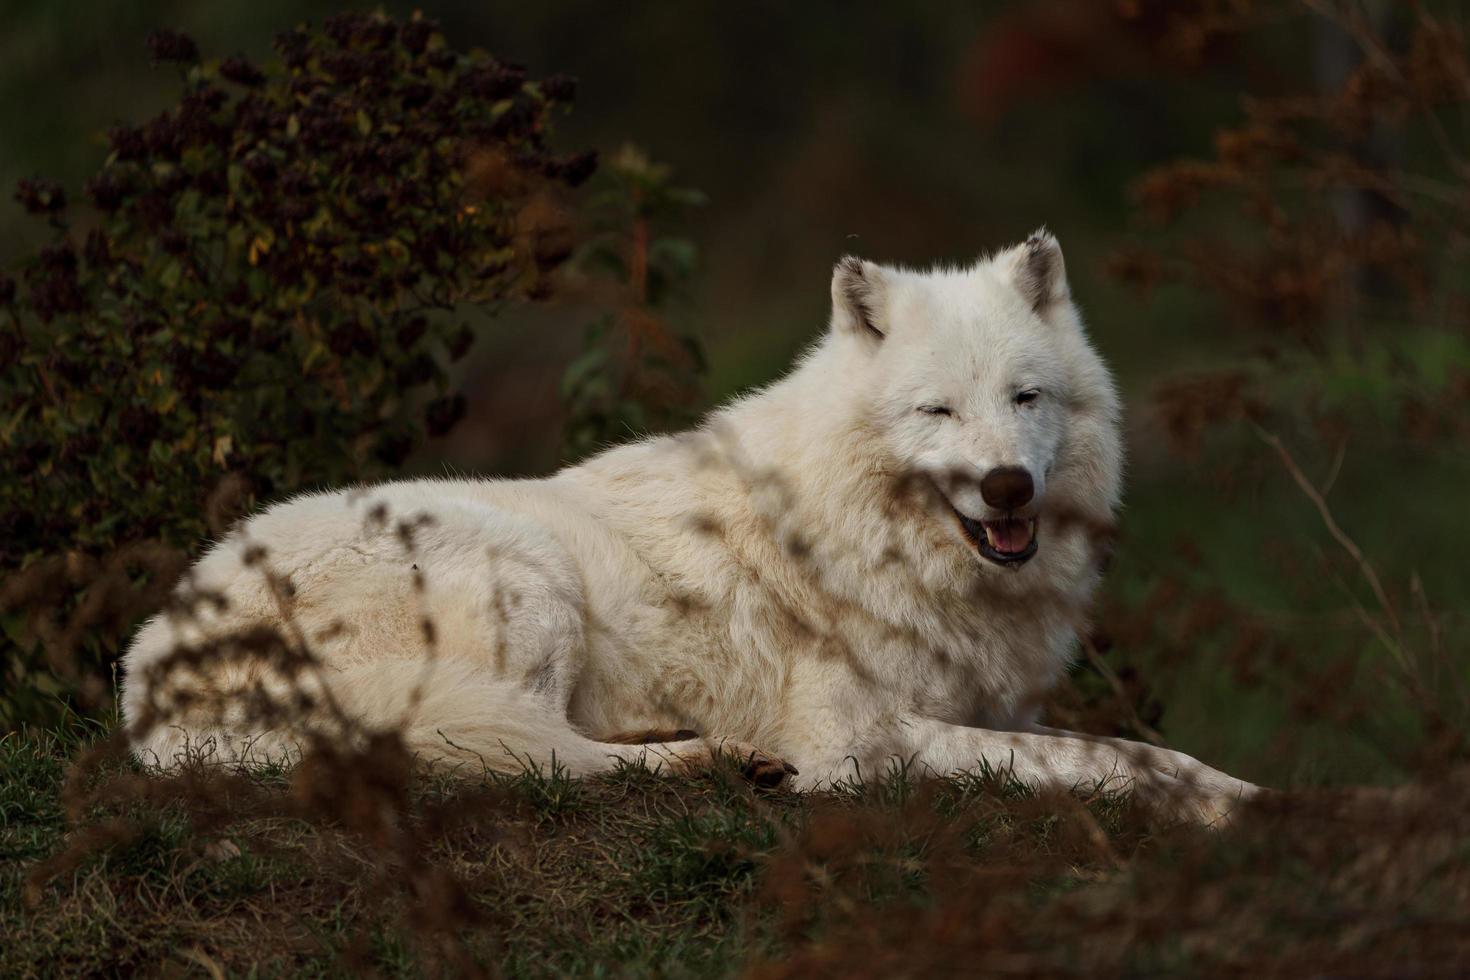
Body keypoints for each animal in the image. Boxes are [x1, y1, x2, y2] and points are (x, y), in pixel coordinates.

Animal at [120, 233, 1258, 822]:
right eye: (937, 411)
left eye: (1025, 398)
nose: (1008, 487)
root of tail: (148, 682)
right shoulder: (863, 736)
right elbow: (1115, 759)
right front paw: (1230, 803)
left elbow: (1137, 747)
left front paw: (1239, 792)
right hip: (525, 576)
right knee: (536, 760)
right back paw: (712, 761)